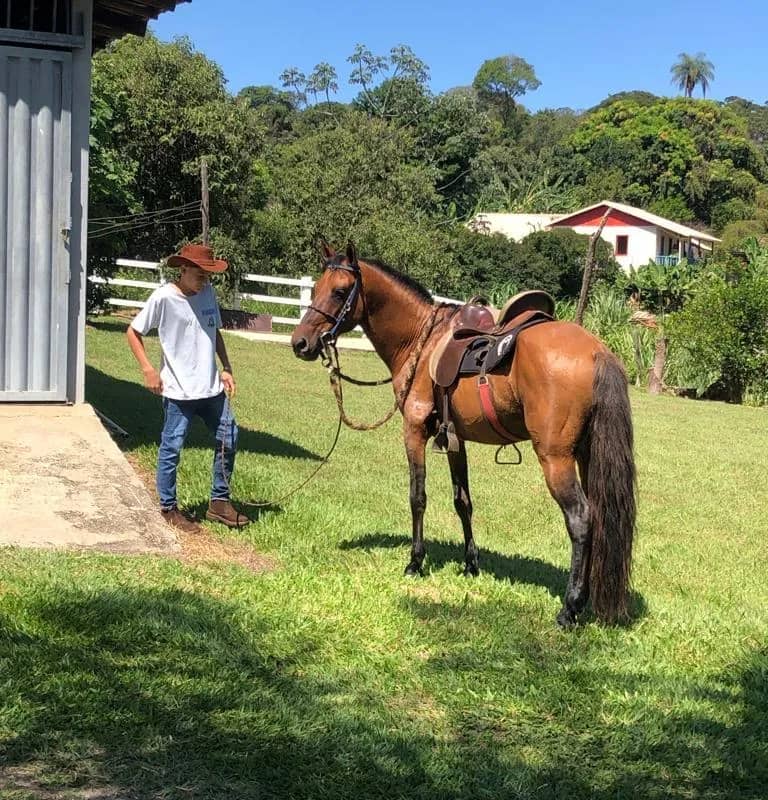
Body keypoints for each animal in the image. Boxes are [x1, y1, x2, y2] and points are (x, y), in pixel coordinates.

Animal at [291, 242, 636, 628]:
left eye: (339, 292)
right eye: (315, 288)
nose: (300, 342)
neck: (420, 340)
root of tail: (597, 351)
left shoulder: (413, 432)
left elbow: (417, 497)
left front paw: (415, 561)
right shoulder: (455, 441)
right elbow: (463, 502)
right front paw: (471, 564)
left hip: (556, 458)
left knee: (581, 518)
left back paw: (570, 607)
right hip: (588, 455)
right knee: (601, 517)